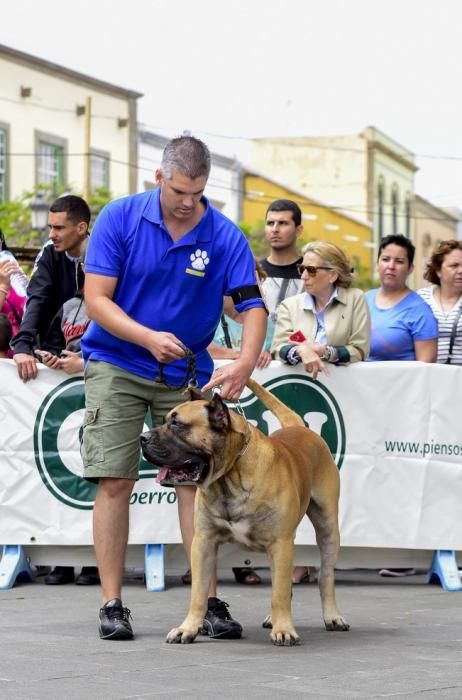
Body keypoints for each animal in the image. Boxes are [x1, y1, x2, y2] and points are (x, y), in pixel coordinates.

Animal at [139, 378, 348, 644]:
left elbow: (279, 593)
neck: (230, 475)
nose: (142, 437)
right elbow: (198, 593)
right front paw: (188, 628)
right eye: (166, 420)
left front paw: (284, 629)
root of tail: (299, 427)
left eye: (177, 424)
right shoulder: (203, 543)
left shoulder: (280, 543)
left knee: (324, 577)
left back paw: (331, 616)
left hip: (327, 528)